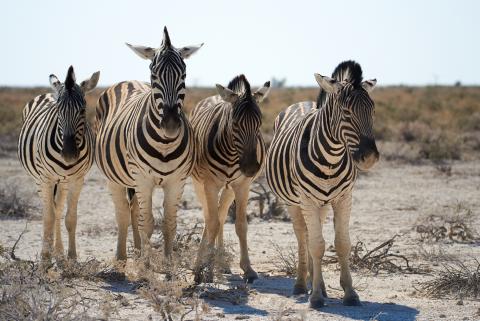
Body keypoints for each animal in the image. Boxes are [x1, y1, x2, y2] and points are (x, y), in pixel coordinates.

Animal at [18, 65, 98, 260]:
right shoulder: (46, 178)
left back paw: (59, 252)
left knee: (59, 209)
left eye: (83, 110)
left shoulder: (77, 180)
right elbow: (48, 217)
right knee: (50, 211)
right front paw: (45, 258)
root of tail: (49, 91)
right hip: (39, 179)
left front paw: (71, 256)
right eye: (58, 110)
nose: (69, 154)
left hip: (63, 181)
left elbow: (69, 218)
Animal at [95, 27, 202, 262]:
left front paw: (168, 263)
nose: (170, 124)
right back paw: (122, 257)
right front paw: (146, 265)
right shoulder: (143, 179)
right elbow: (148, 223)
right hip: (114, 178)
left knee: (134, 210)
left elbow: (169, 223)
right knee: (123, 213)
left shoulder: (177, 181)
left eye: (184, 74)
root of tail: (127, 81)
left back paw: (136, 251)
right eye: (154, 75)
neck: (164, 143)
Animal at [189, 74, 270, 282]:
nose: (251, 167)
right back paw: (201, 265)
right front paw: (206, 270)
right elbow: (212, 222)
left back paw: (222, 264)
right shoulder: (209, 184)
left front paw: (248, 269)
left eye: (259, 123)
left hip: (229, 189)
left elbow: (240, 225)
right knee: (209, 217)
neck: (233, 155)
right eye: (235, 124)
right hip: (199, 184)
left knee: (221, 214)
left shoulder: (243, 185)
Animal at [266, 61, 378, 306]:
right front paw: (315, 296)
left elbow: (342, 243)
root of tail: (302, 103)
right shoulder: (307, 199)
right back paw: (301, 285)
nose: (370, 158)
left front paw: (349, 293)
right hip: (293, 202)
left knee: (310, 234)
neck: (331, 159)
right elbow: (316, 246)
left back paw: (319, 285)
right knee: (302, 236)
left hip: (323, 204)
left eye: (373, 111)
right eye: (346, 112)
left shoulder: (344, 198)